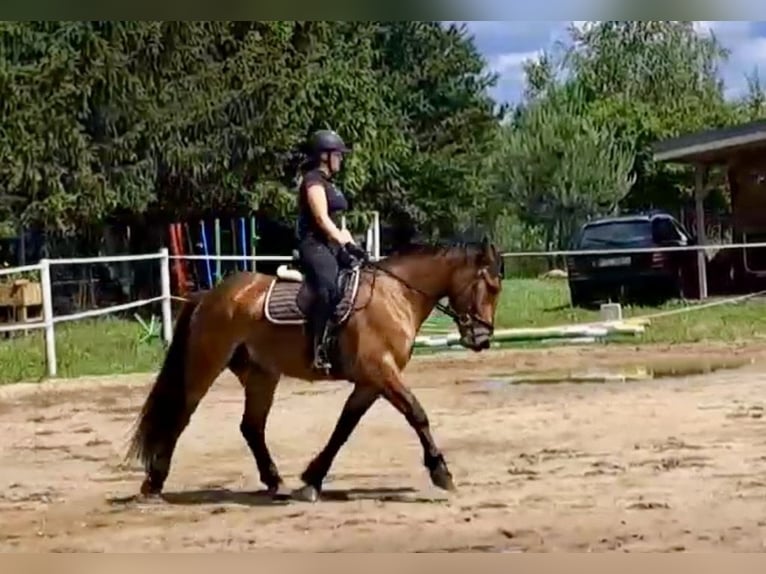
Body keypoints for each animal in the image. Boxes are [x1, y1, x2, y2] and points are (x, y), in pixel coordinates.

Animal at [126, 237, 504, 503]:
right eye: (491, 286)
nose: (482, 338)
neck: (395, 294)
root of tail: (209, 295)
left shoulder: (371, 381)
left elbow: (343, 428)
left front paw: (312, 480)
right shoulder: (380, 371)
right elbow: (417, 413)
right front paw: (441, 472)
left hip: (262, 375)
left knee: (251, 427)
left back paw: (275, 481)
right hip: (205, 366)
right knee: (181, 417)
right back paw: (153, 483)